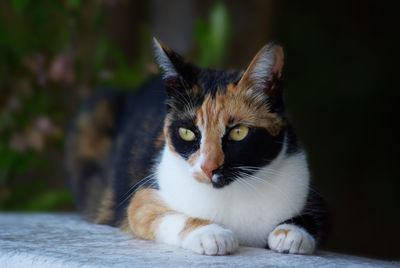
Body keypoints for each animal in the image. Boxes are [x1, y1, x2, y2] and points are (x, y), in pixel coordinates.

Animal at [65, 37, 328, 255]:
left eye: (238, 132)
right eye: (187, 132)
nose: (208, 167)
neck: (229, 195)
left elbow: (316, 217)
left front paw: (290, 234)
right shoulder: (142, 197)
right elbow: (161, 215)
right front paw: (210, 234)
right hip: (98, 107)